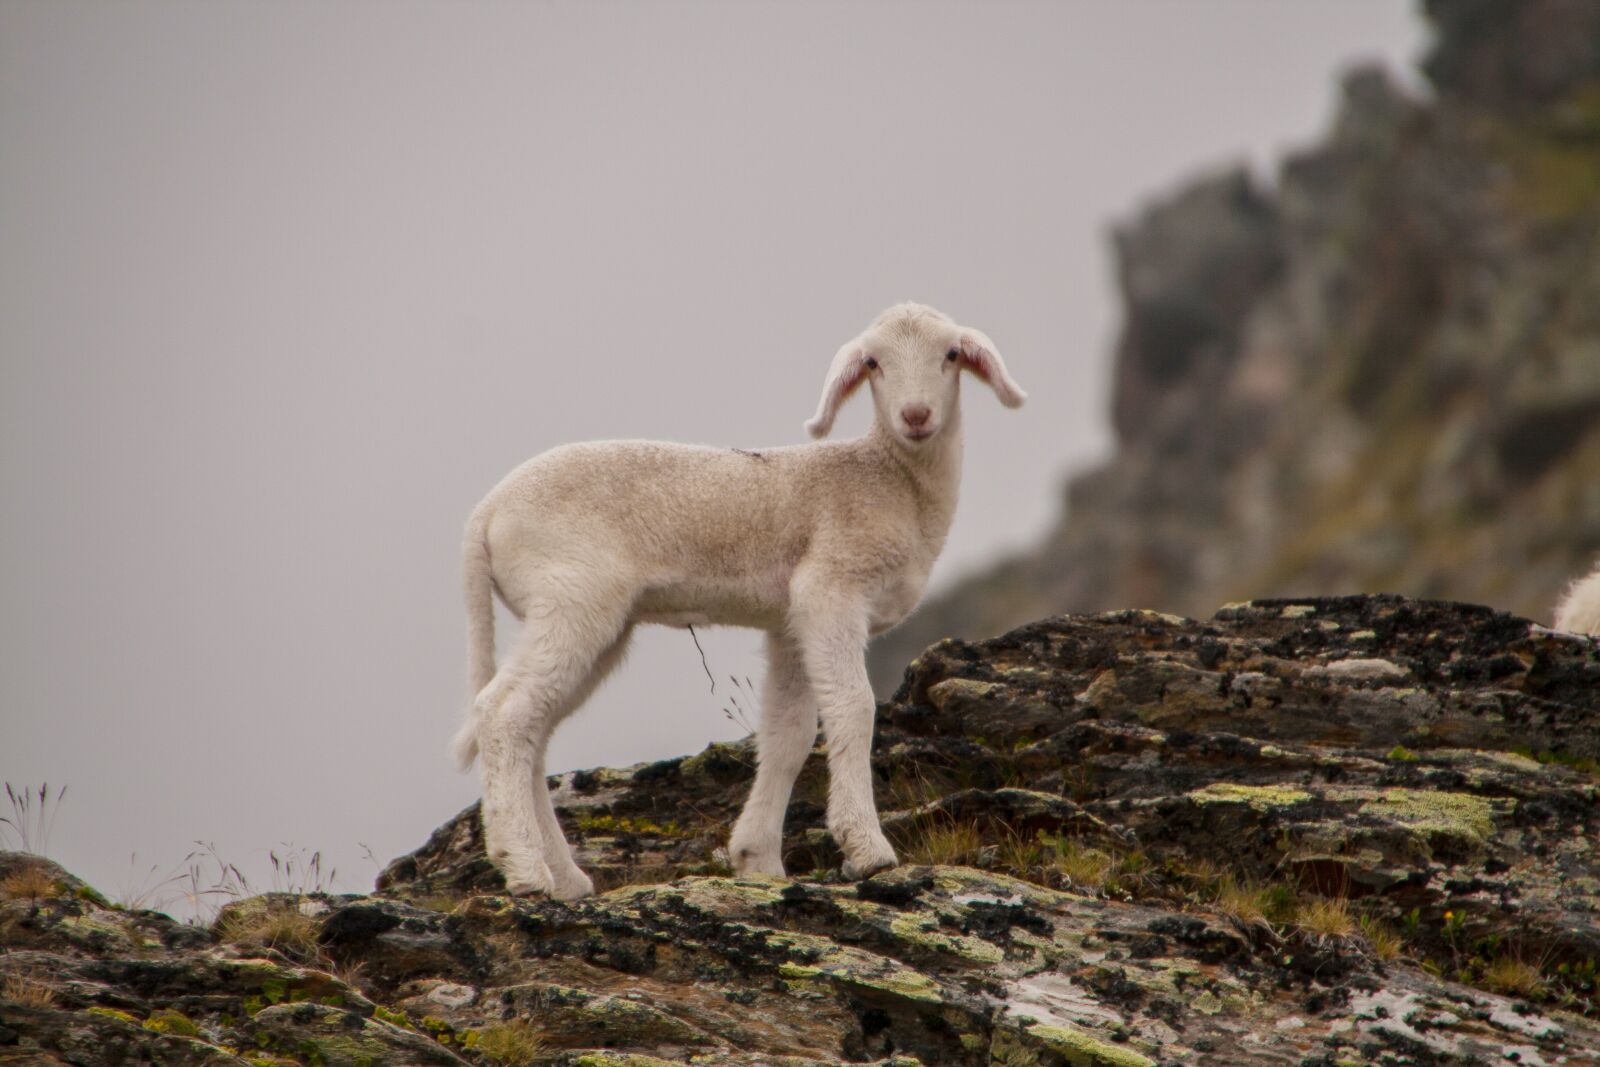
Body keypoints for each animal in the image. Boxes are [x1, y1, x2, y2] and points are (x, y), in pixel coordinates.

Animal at [452, 302, 1026, 898]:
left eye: (952, 354)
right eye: (873, 362)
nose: (915, 415)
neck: (896, 484)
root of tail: (485, 515)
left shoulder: (790, 621)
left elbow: (787, 733)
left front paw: (758, 859)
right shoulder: (830, 589)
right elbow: (853, 707)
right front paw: (867, 850)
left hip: (586, 617)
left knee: (533, 731)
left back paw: (564, 878)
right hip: (572, 597)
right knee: (503, 713)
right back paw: (522, 867)